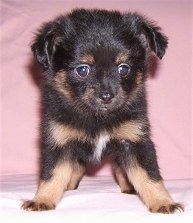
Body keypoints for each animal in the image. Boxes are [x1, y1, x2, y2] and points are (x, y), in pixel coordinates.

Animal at [21, 8, 183, 213]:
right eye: (82, 70)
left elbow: (149, 175)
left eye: (124, 68)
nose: (106, 96)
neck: (97, 117)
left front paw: (163, 202)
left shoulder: (134, 142)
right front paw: (42, 200)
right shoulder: (59, 143)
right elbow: (52, 174)